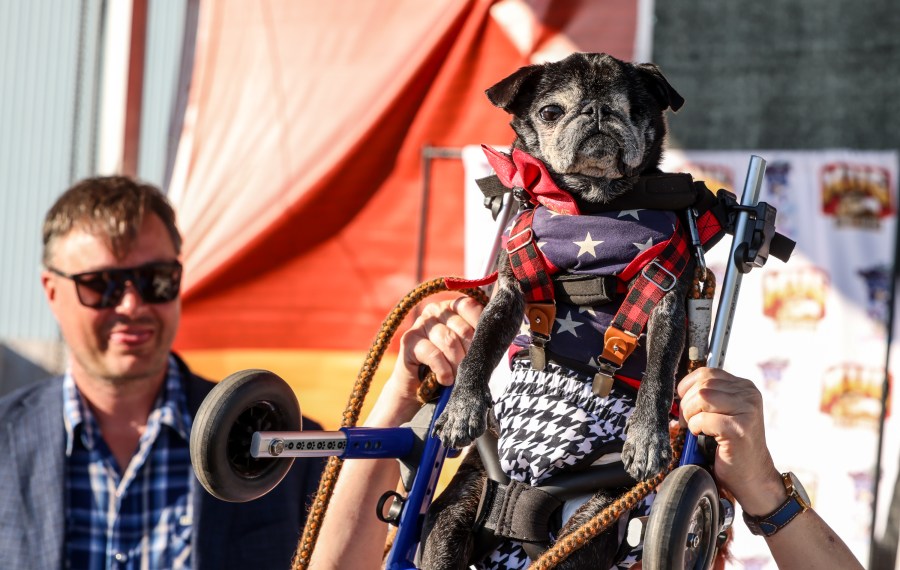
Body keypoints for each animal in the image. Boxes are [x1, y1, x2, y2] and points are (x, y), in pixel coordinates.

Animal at [426, 51, 692, 564]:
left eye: (635, 110)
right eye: (551, 112)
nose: (597, 112)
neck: (590, 206)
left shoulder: (666, 300)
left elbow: (659, 374)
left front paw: (647, 436)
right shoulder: (509, 294)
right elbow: (479, 348)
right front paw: (463, 406)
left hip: (591, 517)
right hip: (459, 506)